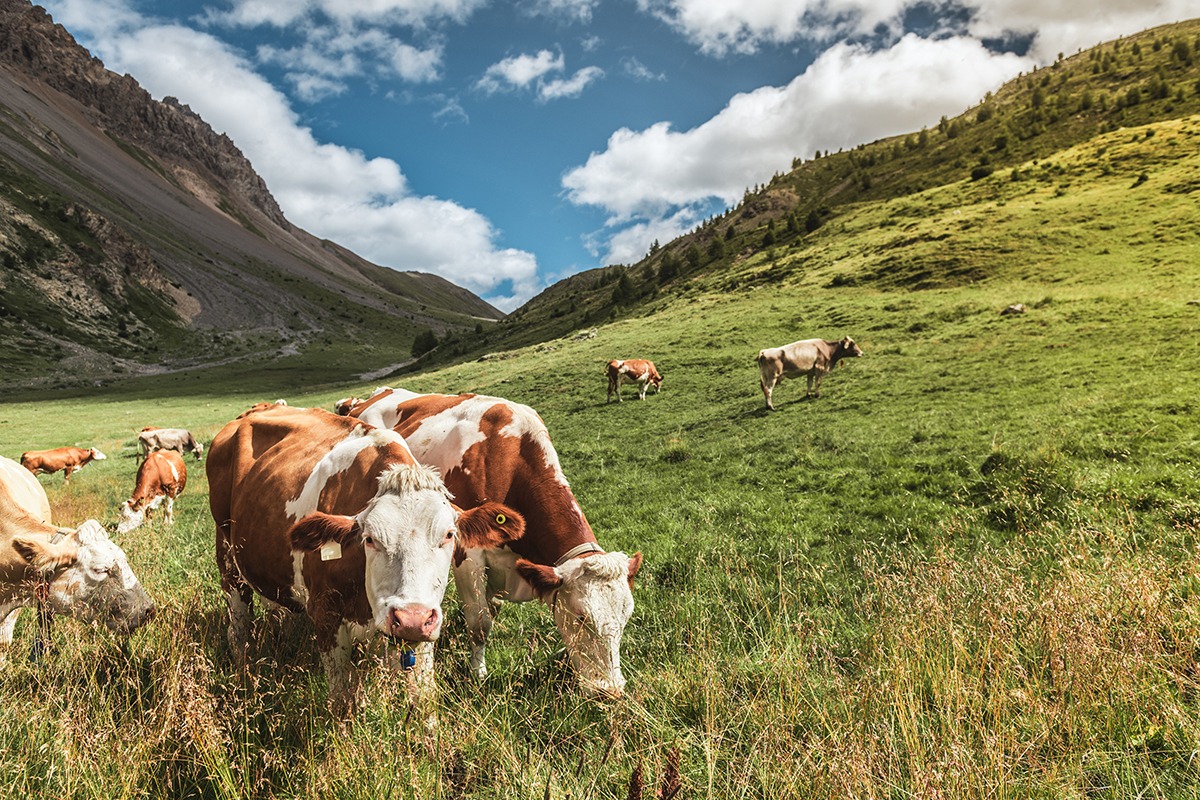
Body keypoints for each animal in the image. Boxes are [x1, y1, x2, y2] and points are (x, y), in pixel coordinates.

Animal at [206, 404, 524, 712]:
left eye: (448, 535)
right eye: (369, 539)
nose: (410, 619)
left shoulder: (425, 623)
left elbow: (424, 699)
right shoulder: (326, 616)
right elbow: (340, 702)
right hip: (228, 557)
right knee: (239, 627)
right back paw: (242, 673)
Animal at [348, 389, 643, 697]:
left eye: (626, 617)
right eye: (580, 616)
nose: (610, 690)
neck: (513, 459)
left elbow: (492, 610)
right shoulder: (469, 555)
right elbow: (479, 623)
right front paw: (478, 674)